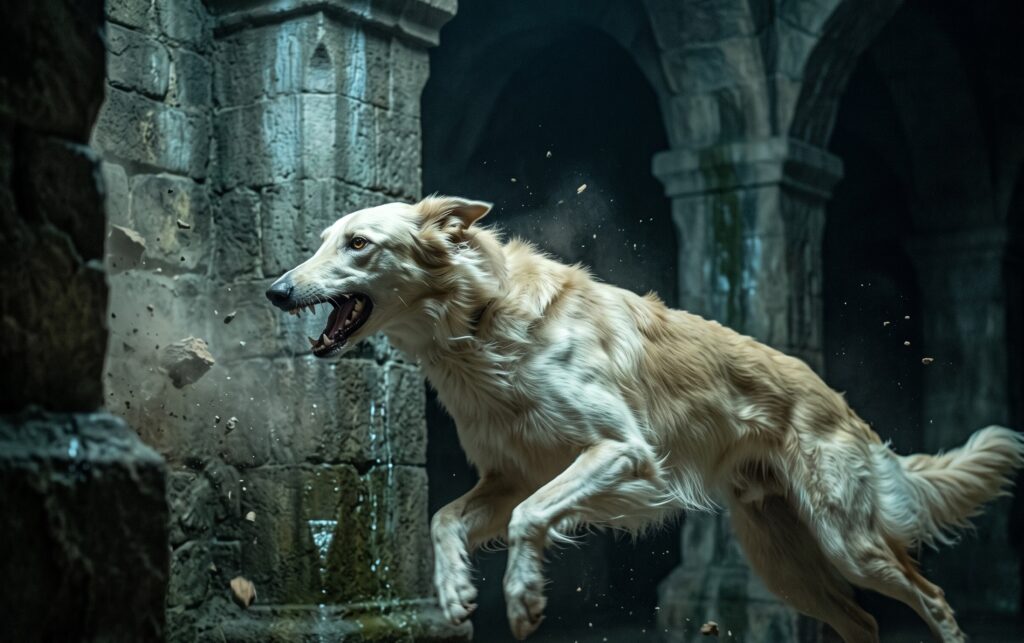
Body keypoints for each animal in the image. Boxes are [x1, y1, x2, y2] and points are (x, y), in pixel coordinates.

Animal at [266, 196, 1024, 642]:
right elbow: (444, 519)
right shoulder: (510, 476)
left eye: (358, 244)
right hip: (789, 567)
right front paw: (455, 597)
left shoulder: (618, 452)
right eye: (323, 240)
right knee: (864, 623)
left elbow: (529, 521)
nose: (274, 290)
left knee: (934, 599)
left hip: (849, 544)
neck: (481, 323)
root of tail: (838, 400)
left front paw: (523, 600)